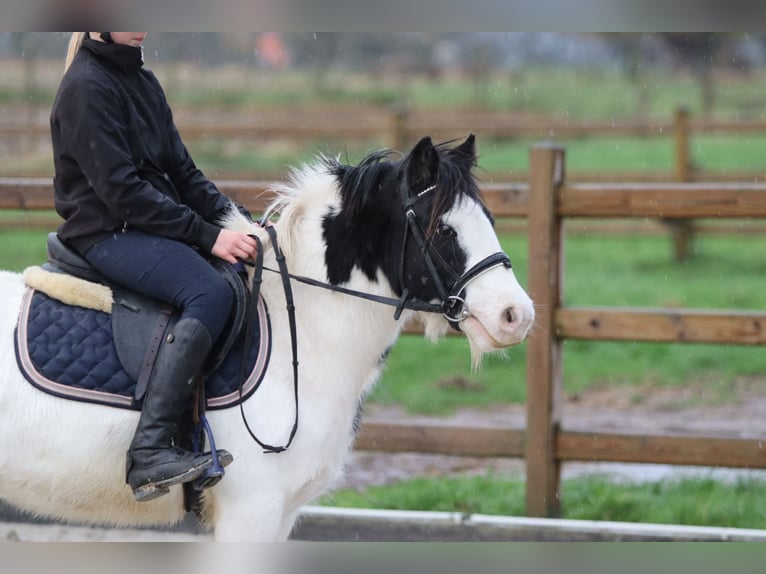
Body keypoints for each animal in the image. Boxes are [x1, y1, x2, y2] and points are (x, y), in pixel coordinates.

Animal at [0, 135, 534, 541]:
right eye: (443, 230)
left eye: (489, 220)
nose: (518, 316)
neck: (304, 335)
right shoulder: (251, 511)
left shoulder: (280, 515)